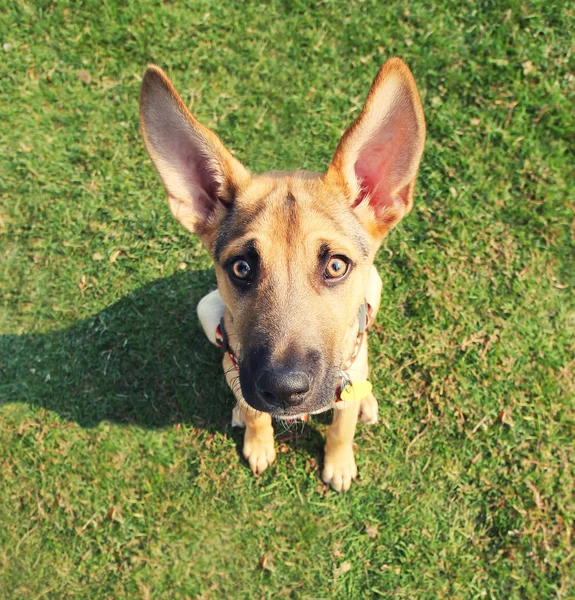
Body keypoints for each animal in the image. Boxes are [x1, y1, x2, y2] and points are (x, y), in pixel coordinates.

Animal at [141, 56, 428, 490]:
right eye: (241, 267)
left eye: (336, 265)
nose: (284, 390)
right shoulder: (239, 369)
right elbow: (255, 412)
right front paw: (259, 442)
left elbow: (341, 428)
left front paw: (338, 463)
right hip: (207, 310)